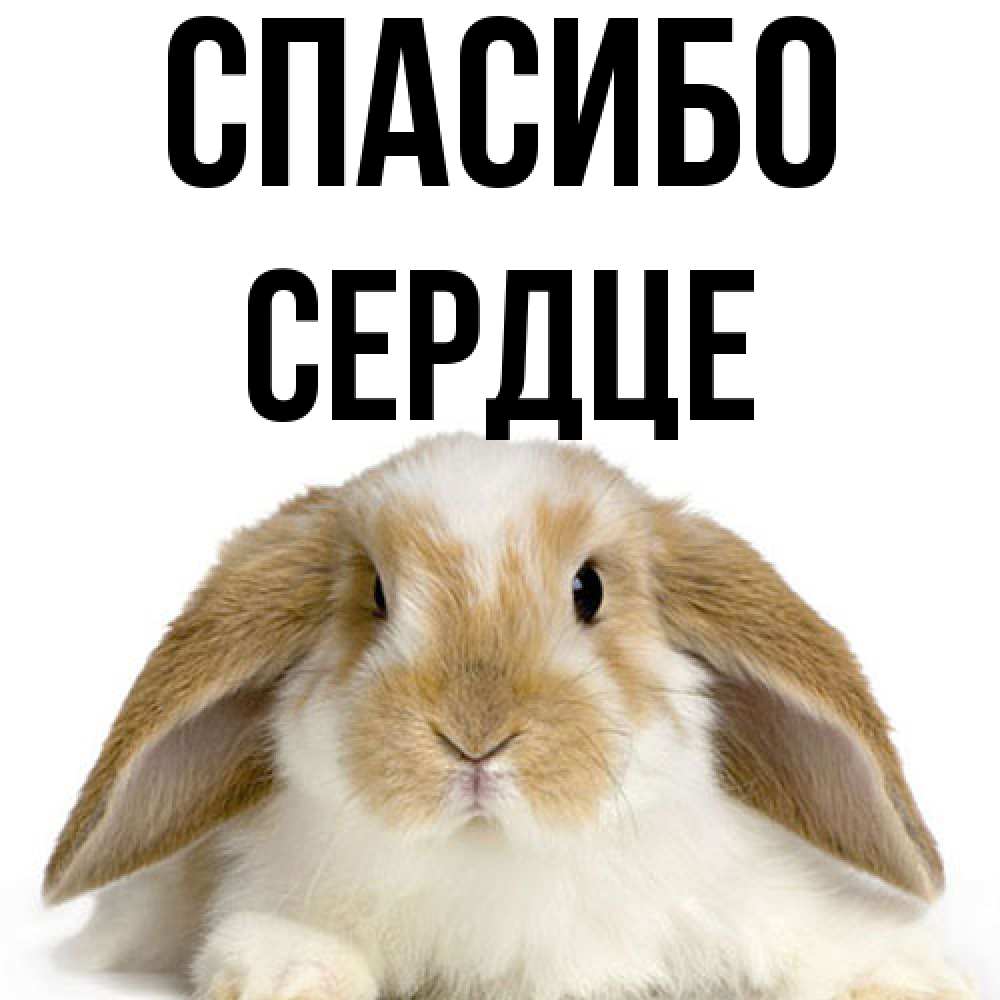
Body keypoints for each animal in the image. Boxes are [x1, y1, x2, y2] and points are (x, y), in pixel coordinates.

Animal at [45, 434, 975, 1000]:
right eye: (376, 595)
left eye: (589, 589)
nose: (475, 737)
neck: (495, 857)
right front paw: (292, 976)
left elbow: (816, 938)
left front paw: (911, 977)